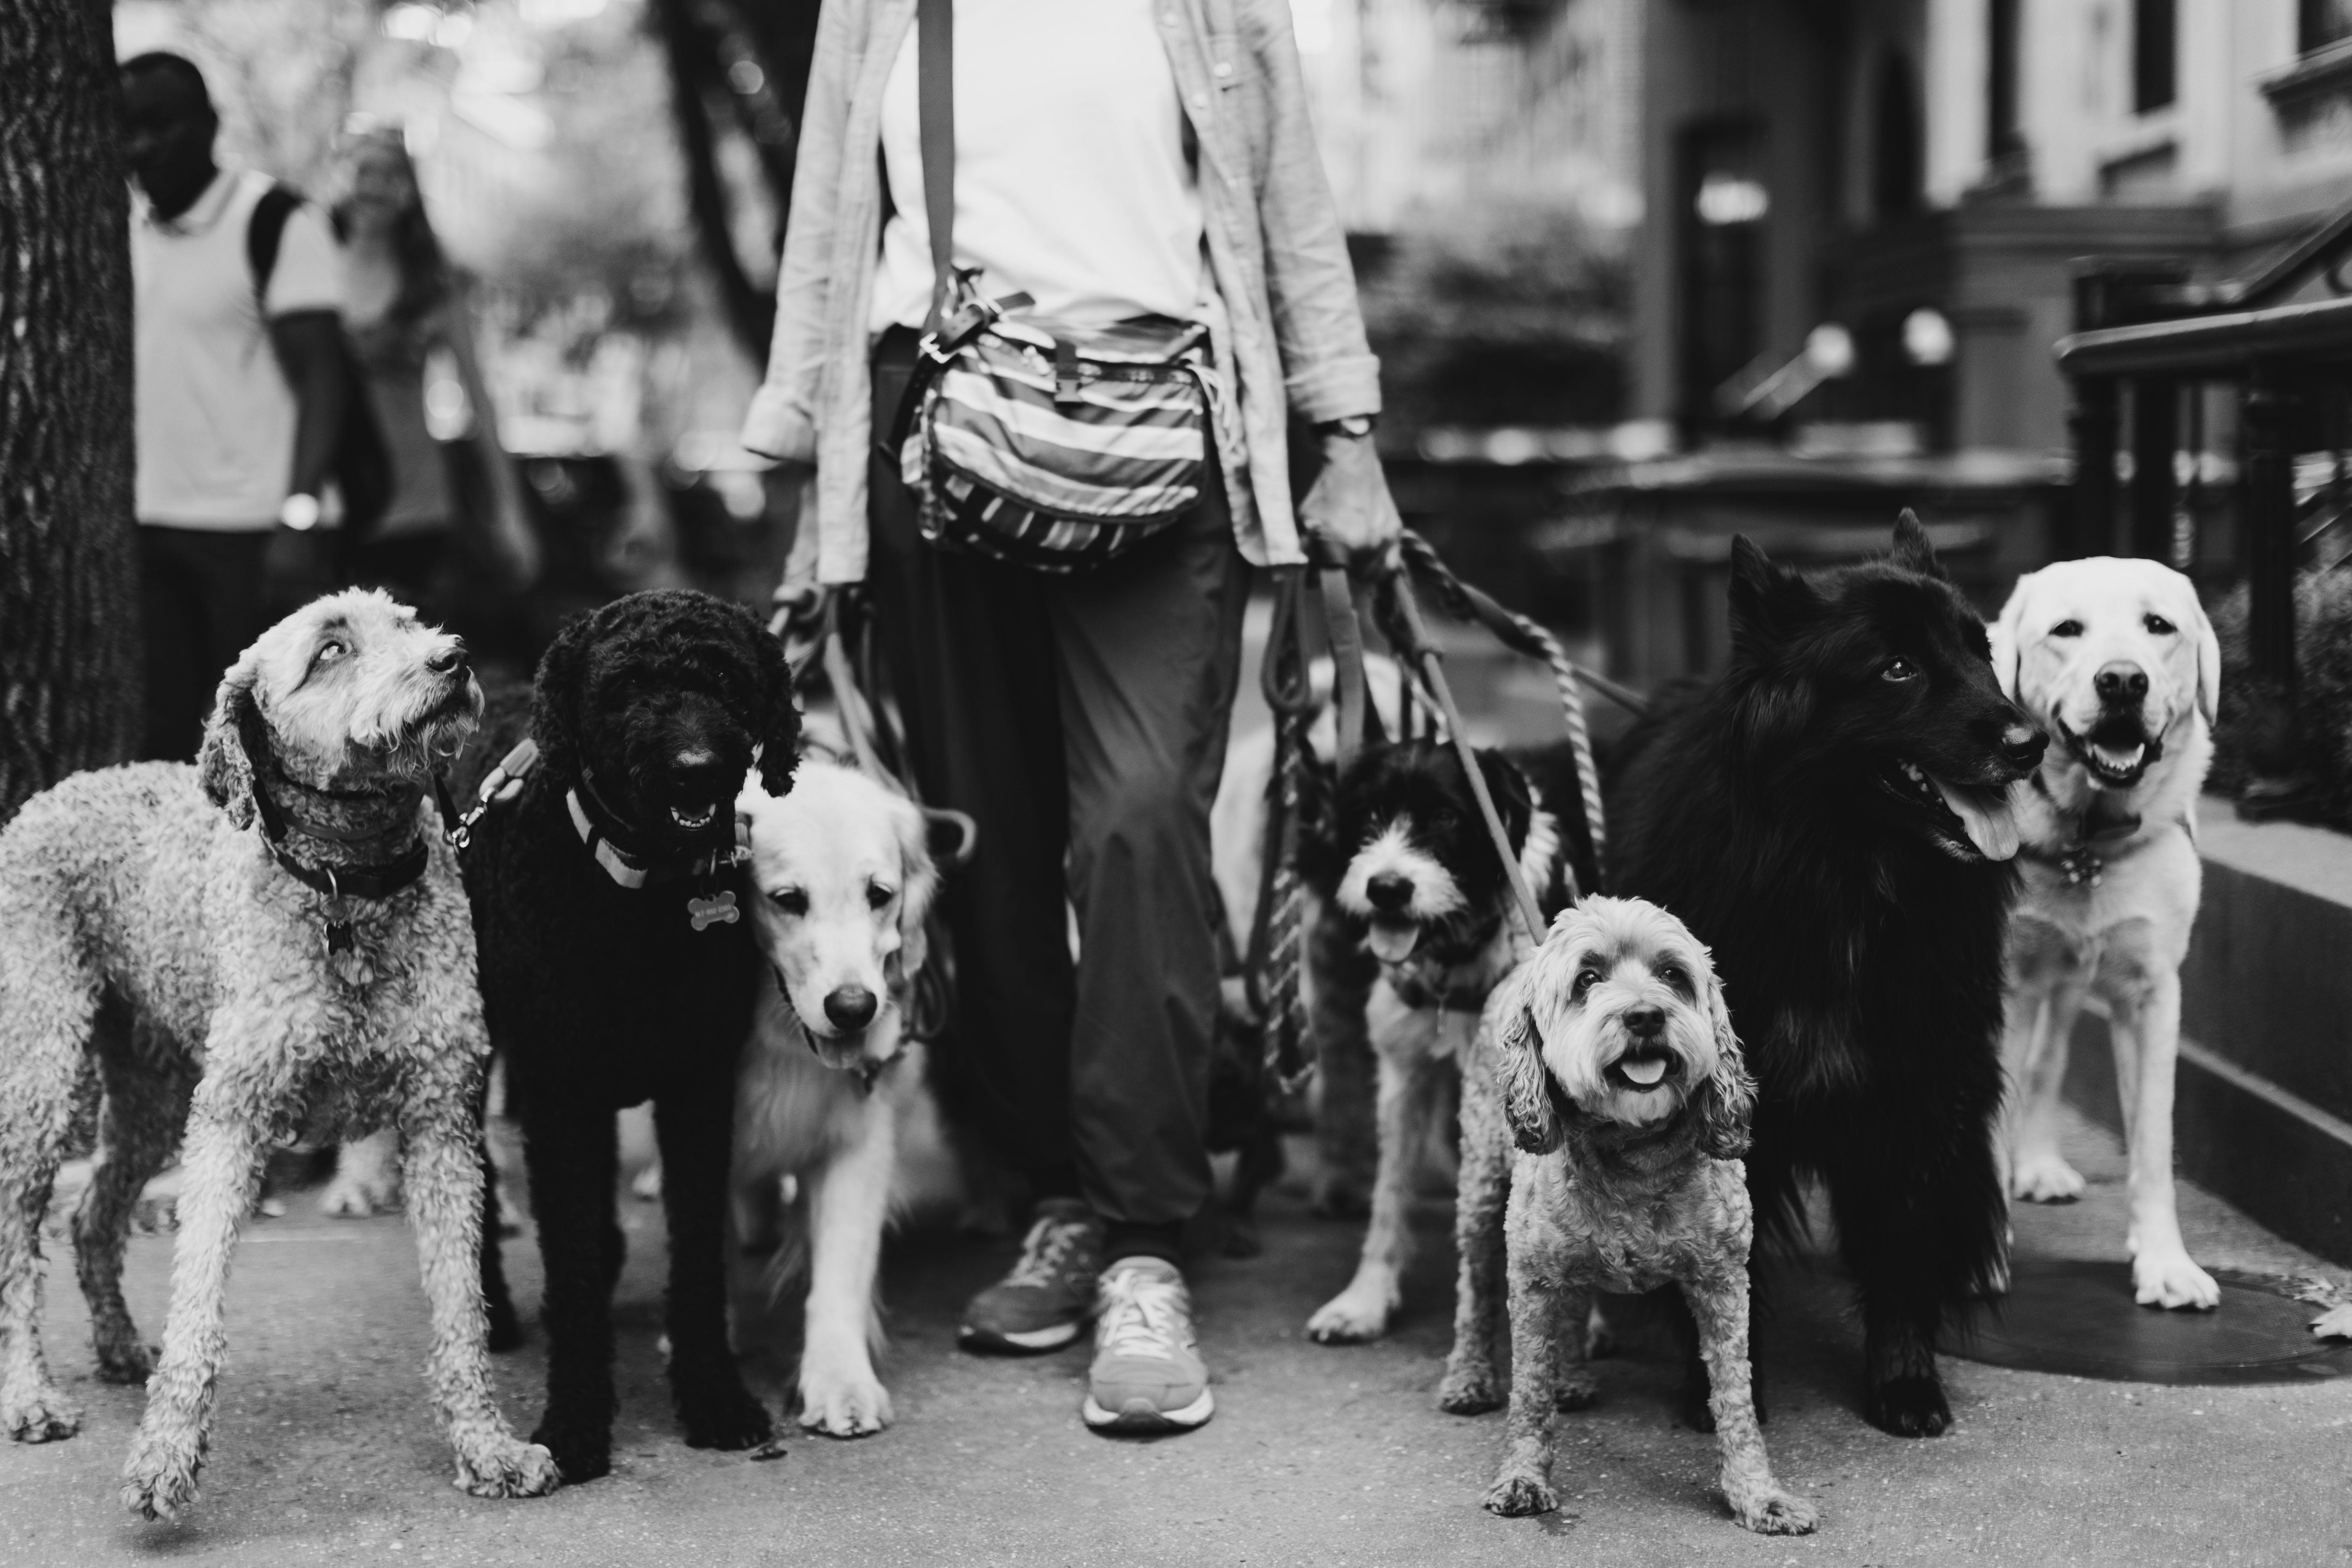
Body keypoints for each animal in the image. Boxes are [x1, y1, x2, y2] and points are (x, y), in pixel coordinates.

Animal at [0, 588, 557, 1523]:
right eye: (331, 649)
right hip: (43, 1073)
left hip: (154, 1087)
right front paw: (165, 1457)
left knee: (95, 1215)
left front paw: (487, 1446)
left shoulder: (441, 1123)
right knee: (19, 1239)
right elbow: (197, 1302)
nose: (453, 659)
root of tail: (55, 794)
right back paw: (30, 1395)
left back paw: (119, 1346)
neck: (349, 890)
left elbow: (461, 1308)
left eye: (407, 621)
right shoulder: (232, 1119)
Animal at [738, 762, 950, 1438]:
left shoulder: (859, 1142)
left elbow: (839, 1271)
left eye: (880, 894)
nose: (854, 1008)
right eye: (787, 900)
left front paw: (841, 1383)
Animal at [1468, 893, 1815, 1533]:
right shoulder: (1531, 1279)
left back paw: (1572, 1378)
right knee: (1472, 1292)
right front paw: (1523, 1477)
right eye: (1587, 979)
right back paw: (1467, 1377)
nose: (1647, 1017)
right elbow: (1529, 1390)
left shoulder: (1723, 1281)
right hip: (1479, 1193)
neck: (1633, 1149)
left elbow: (1735, 1394)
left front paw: (1758, 1495)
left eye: (1673, 975)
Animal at [1609, 514, 2051, 1438]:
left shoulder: (1920, 1094)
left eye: (1982, 651)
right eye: (1897, 668)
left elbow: (1903, 1251)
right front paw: (1723, 1391)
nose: (2032, 743)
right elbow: (1722, 1279)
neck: (1841, 880)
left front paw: (1905, 1381)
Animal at [1985, 562, 2220, 1316]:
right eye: (2067, 630)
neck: (2086, 839)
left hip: (2064, 984)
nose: (2122, 681)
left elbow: (2152, 1141)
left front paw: (2166, 1263)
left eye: (2159, 626)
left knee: (2047, 1060)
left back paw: (2038, 1163)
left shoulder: (2151, 995)